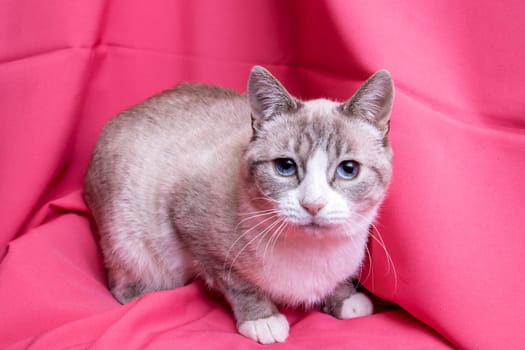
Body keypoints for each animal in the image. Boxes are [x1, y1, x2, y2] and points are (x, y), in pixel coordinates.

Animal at [83, 66, 392, 344]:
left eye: (348, 169)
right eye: (285, 166)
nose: (313, 205)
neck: (315, 255)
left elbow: (338, 284)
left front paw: (347, 300)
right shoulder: (193, 228)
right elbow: (239, 284)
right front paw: (263, 320)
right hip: (138, 251)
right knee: (124, 288)